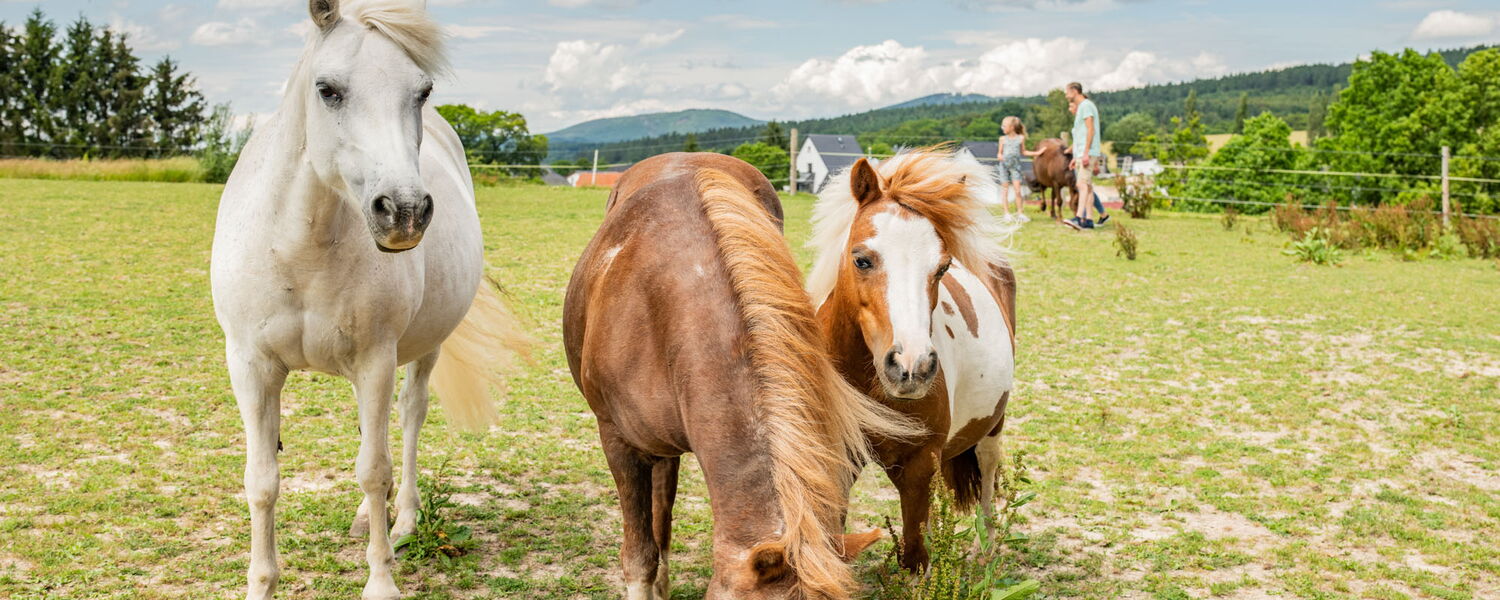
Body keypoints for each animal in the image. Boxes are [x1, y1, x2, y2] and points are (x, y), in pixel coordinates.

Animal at [210, 1, 527, 598]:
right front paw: (261, 582)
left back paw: (404, 520)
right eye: (327, 89)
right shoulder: (251, 366)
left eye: (422, 91)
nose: (403, 210)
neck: (300, 248)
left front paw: (381, 579)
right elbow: (262, 481)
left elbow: (374, 469)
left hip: (423, 350)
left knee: (407, 419)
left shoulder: (376, 360)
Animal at [806, 148, 1018, 571]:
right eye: (862, 260)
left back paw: (985, 551)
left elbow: (915, 556)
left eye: (942, 268)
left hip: (992, 426)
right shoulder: (836, 456)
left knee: (987, 481)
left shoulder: (920, 463)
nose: (911, 367)